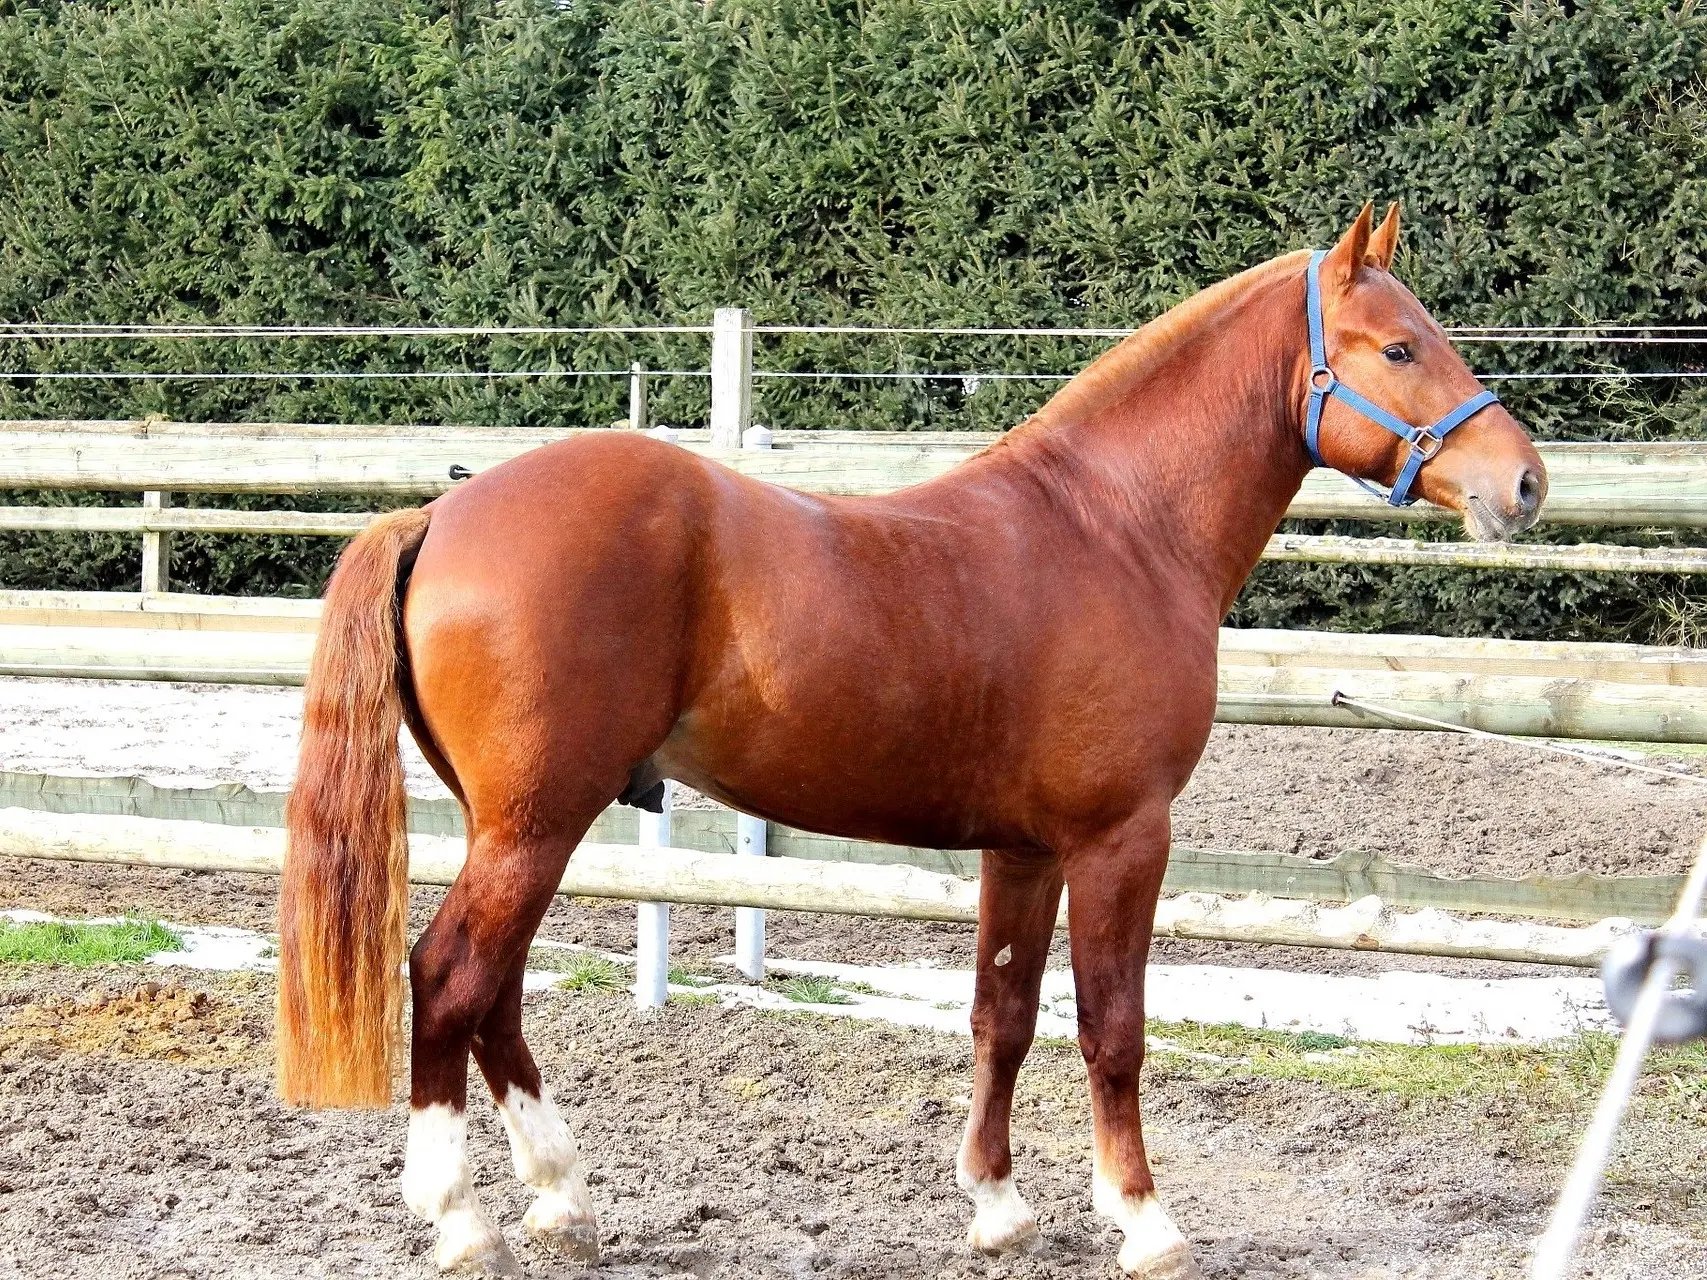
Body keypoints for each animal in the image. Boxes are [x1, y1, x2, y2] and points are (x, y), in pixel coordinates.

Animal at [276, 205, 1549, 1276]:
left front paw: (997, 1204)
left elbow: (1004, 1015)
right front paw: (1145, 1219)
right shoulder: (1123, 839)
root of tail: (441, 511)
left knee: (493, 993)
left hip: (518, 827)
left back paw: (561, 1194)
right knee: (451, 977)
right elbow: (1113, 1028)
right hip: (537, 823)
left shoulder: (1024, 850)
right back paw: (461, 1214)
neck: (1117, 529)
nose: (1526, 482)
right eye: (1400, 348)